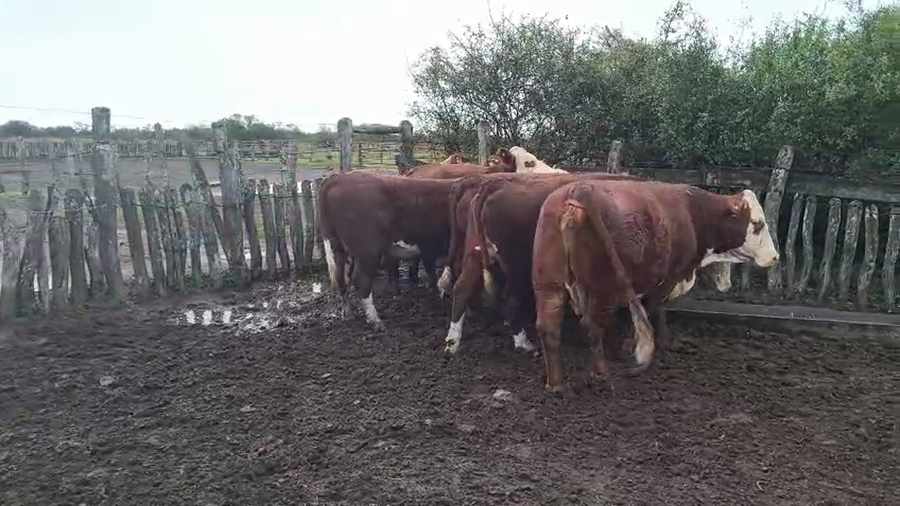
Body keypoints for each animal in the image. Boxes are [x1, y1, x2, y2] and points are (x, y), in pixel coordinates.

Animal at [317, 171, 457, 330]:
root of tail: (338, 178)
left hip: (340, 249)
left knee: (342, 279)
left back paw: (348, 314)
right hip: (367, 251)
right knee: (360, 280)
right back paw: (376, 321)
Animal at [532, 180, 778, 391]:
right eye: (757, 223)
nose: (775, 257)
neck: (694, 213)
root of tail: (580, 189)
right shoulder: (667, 279)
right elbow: (650, 309)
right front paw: (634, 346)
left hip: (549, 285)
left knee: (550, 328)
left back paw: (555, 384)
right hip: (600, 289)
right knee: (595, 326)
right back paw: (601, 372)